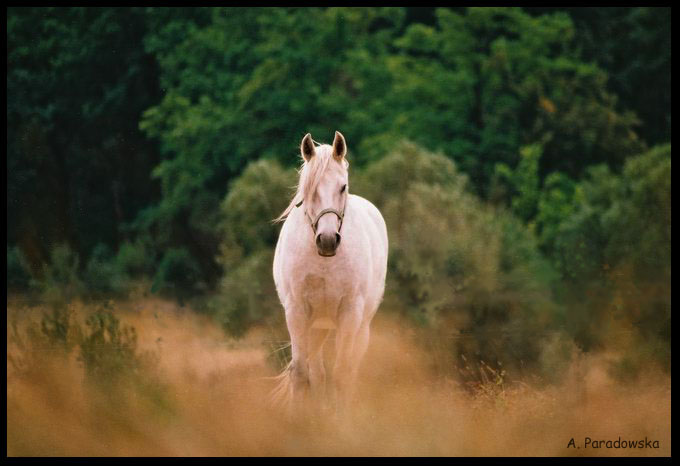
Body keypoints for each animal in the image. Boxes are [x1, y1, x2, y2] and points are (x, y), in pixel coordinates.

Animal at [270, 130, 388, 416]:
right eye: (309, 191)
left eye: (343, 187)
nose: (327, 241)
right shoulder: (297, 312)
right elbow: (301, 373)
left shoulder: (350, 314)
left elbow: (342, 374)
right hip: (317, 327)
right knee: (316, 372)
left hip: (360, 327)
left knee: (349, 370)